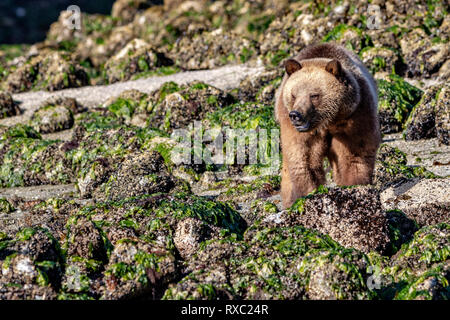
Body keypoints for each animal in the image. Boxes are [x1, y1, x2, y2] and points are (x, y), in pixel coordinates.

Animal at [274, 42, 380, 209]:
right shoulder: (297, 131)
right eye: (293, 95)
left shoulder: (356, 115)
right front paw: (308, 193)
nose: (296, 115)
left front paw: (353, 185)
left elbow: (355, 152)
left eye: (314, 95)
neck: (328, 121)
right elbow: (304, 158)